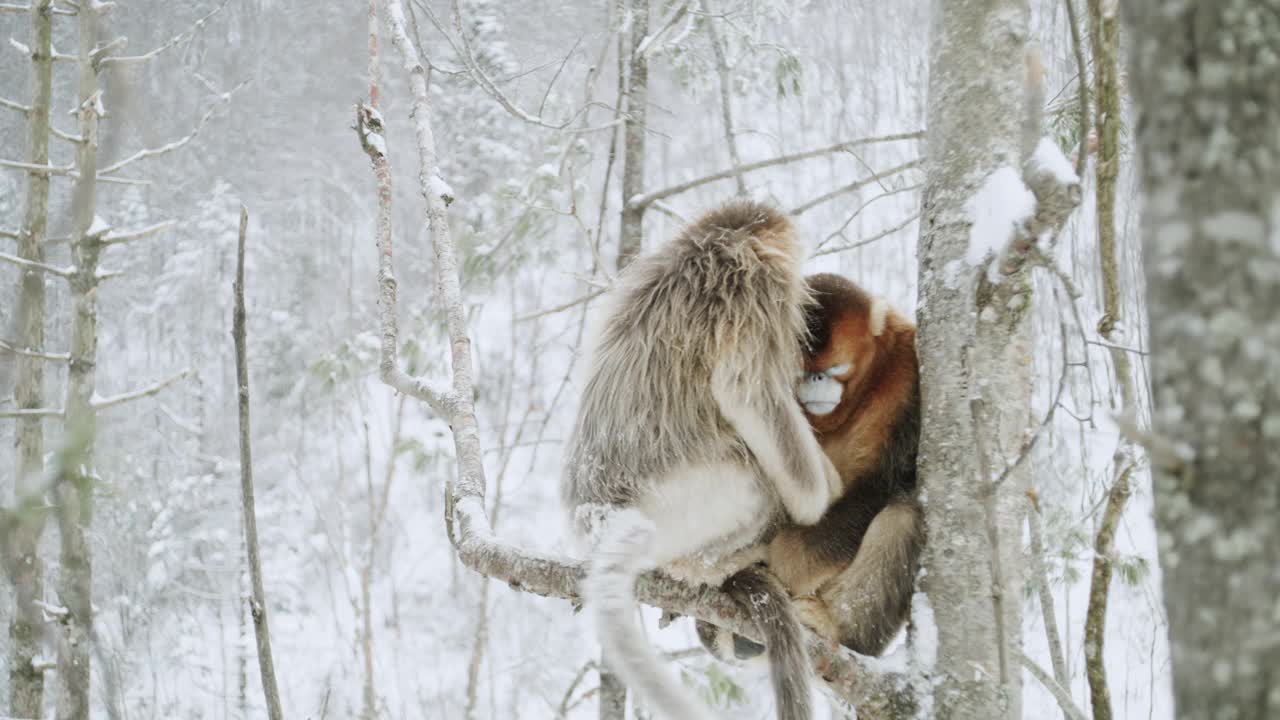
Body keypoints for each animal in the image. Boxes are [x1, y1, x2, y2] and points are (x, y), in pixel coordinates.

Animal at [565, 198, 844, 717]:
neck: (708, 244)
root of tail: (600, 515)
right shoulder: (756, 289)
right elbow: (746, 392)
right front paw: (821, 492)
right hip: (676, 509)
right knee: (754, 485)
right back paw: (712, 566)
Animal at [701, 271, 921, 661]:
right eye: (798, 371)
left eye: (834, 369)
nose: (816, 382)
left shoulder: (905, 371)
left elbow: (883, 480)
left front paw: (787, 562)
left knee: (903, 514)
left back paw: (838, 628)